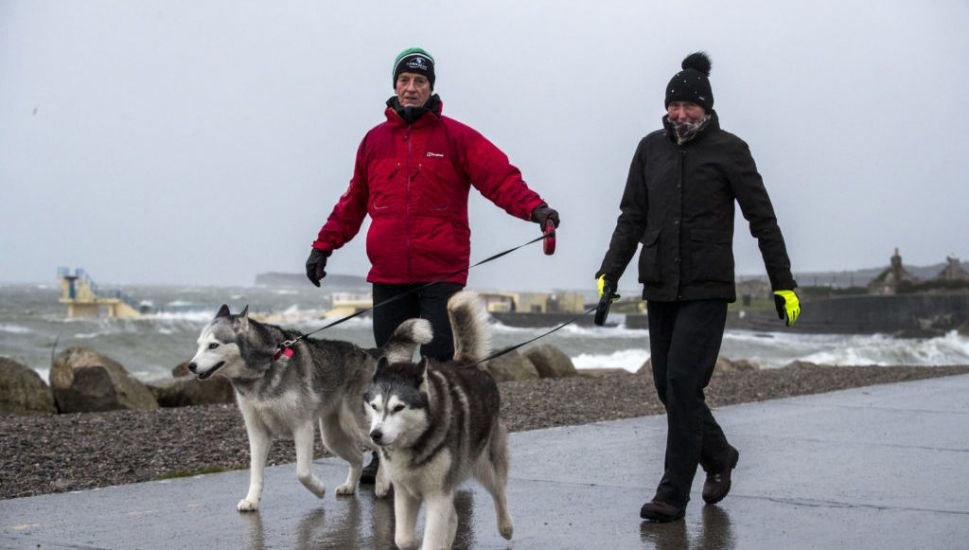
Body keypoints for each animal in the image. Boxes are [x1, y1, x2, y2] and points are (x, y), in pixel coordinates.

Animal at [187, 306, 430, 512]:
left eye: (213, 345)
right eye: (198, 345)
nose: (191, 366)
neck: (266, 365)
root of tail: (369, 352)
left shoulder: (302, 426)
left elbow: (302, 472)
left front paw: (318, 489)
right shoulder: (257, 433)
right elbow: (255, 472)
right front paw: (252, 500)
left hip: (359, 424)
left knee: (380, 448)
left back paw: (381, 483)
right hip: (331, 436)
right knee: (357, 458)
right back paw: (350, 485)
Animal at [364, 292, 516, 548]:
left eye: (398, 407)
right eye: (374, 406)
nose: (375, 435)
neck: (415, 444)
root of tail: (465, 362)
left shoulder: (437, 494)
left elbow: (432, 537)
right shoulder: (405, 492)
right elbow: (403, 538)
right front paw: (414, 541)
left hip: (484, 464)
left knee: (500, 493)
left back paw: (506, 527)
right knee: (454, 517)